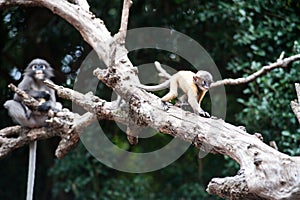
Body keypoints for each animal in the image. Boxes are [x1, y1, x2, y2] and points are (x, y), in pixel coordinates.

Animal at [4, 58, 61, 200]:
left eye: (42, 66)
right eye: (35, 66)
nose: (39, 69)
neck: (38, 81)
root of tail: (37, 125)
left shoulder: (50, 84)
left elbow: (53, 100)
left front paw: (48, 104)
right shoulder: (27, 79)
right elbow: (16, 97)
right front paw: (41, 95)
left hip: (42, 120)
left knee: (58, 105)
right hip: (30, 121)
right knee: (10, 103)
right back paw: (28, 116)